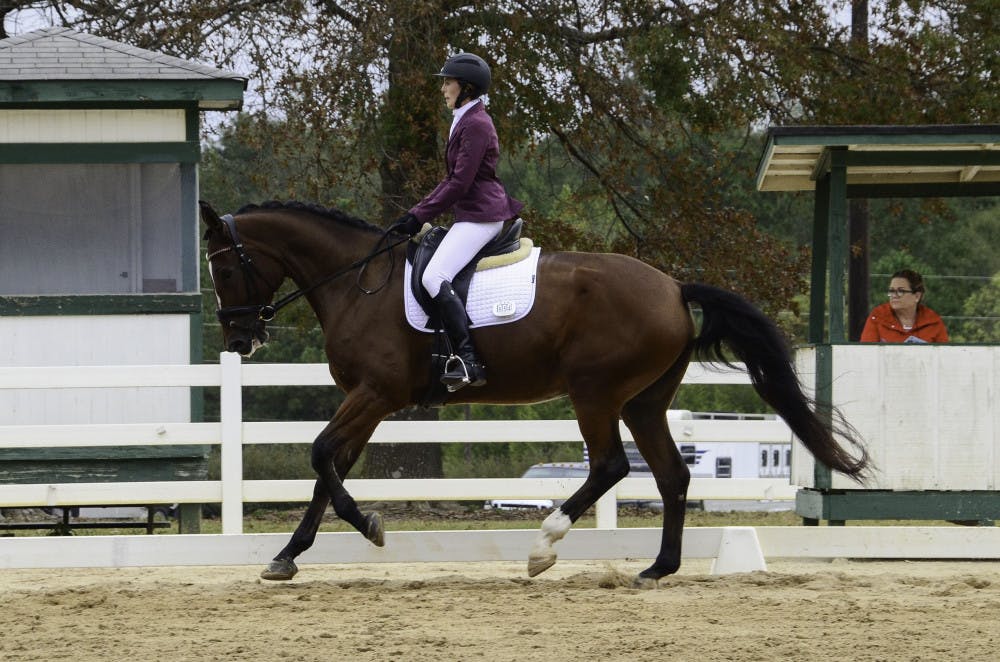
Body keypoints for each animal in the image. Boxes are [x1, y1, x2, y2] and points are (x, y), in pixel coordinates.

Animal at [200, 200, 869, 587]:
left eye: (226, 267)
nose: (239, 337)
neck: (358, 283)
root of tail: (674, 287)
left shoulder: (377, 393)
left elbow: (319, 456)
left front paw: (368, 525)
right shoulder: (368, 400)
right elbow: (327, 468)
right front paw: (288, 556)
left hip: (595, 392)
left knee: (609, 466)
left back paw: (544, 547)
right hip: (643, 402)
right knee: (672, 475)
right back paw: (658, 568)